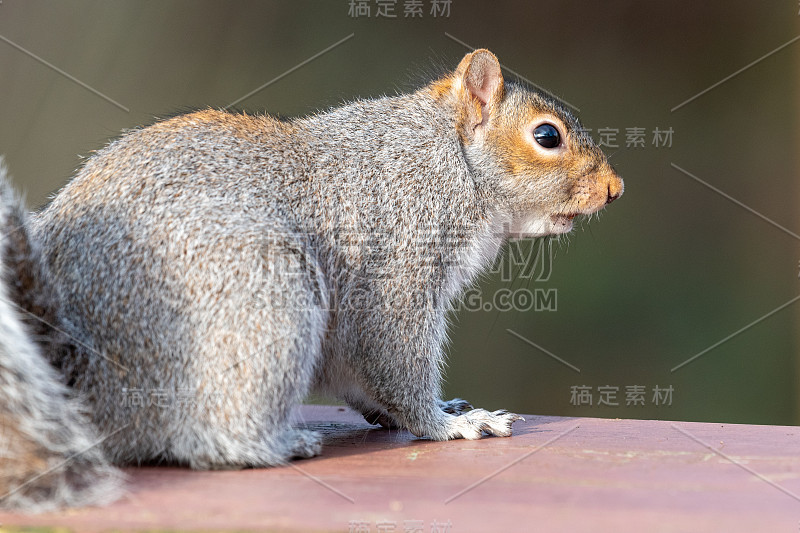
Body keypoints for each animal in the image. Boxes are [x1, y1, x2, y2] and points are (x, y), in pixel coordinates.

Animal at [0, 51, 620, 512]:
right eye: (546, 136)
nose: (615, 189)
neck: (448, 157)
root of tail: (84, 377)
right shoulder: (400, 262)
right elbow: (396, 355)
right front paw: (448, 424)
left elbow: (359, 371)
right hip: (265, 295)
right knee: (213, 440)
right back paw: (277, 443)